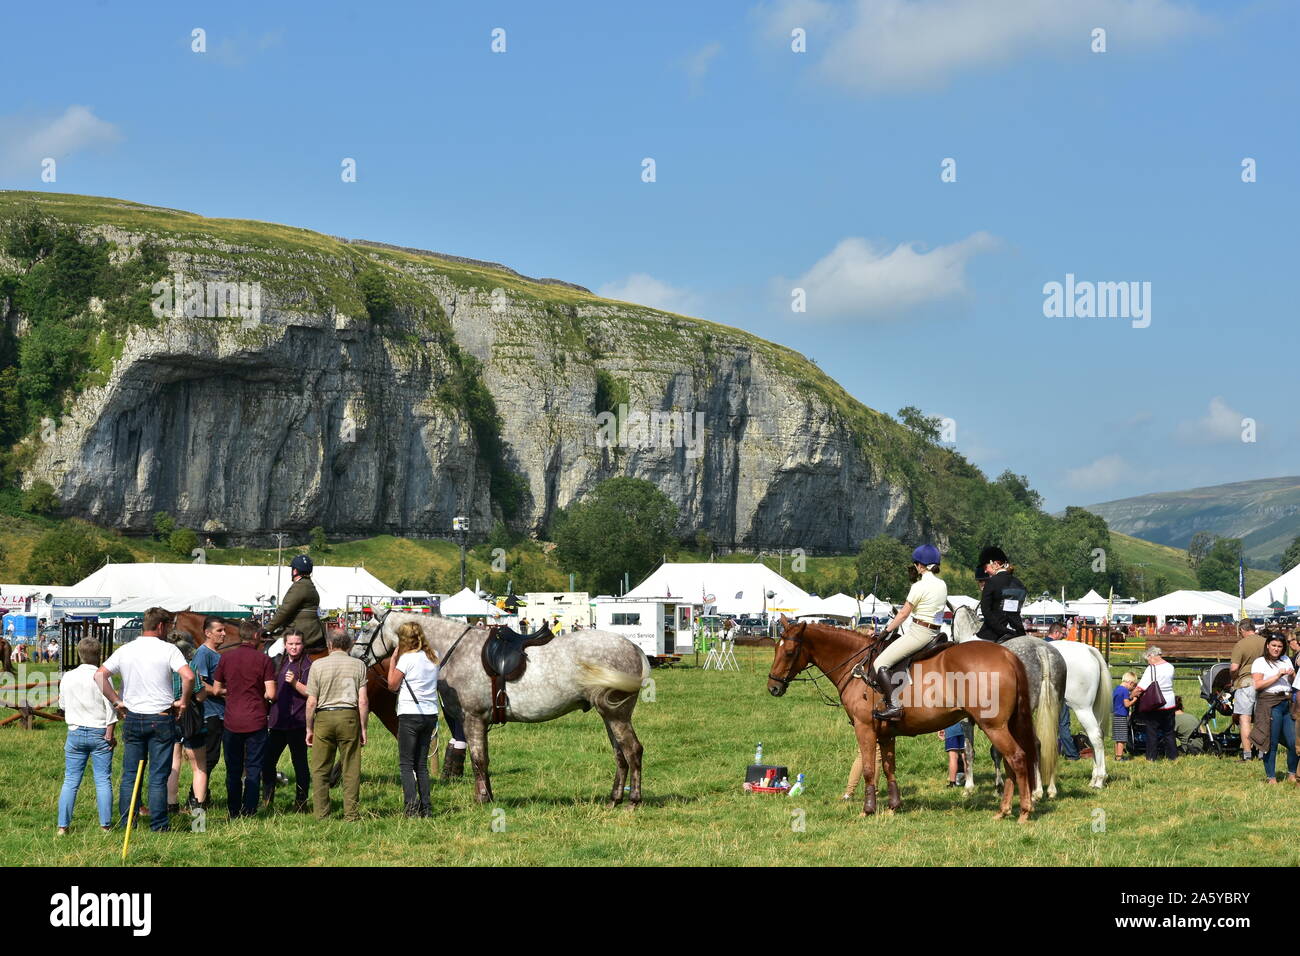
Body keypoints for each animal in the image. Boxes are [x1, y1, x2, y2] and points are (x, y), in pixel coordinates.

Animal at [361, 613, 650, 806]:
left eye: (365, 631)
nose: (357, 656)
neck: (457, 651)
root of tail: (634, 648)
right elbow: (483, 759)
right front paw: (487, 795)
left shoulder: (473, 718)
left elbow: (478, 759)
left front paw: (481, 799)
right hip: (609, 716)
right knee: (620, 754)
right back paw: (614, 799)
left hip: (616, 715)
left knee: (632, 750)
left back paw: (633, 800)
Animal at [769, 616, 1034, 827]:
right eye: (775, 649)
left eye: (789, 652)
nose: (773, 687)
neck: (858, 667)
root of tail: (1007, 654)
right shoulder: (886, 733)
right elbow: (889, 768)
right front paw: (893, 806)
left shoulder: (865, 729)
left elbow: (868, 769)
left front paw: (868, 809)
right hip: (1004, 726)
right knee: (1010, 763)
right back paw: (1004, 810)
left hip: (994, 726)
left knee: (1017, 758)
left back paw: (1023, 811)